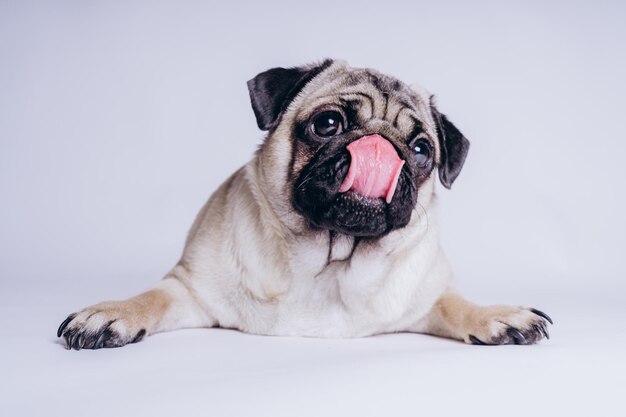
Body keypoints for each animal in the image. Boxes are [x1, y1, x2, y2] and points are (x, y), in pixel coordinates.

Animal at [56, 60, 548, 350]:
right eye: (327, 124)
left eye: (422, 149)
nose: (380, 147)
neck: (328, 264)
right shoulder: (190, 289)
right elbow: (152, 297)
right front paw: (113, 314)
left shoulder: (427, 296)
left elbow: (455, 305)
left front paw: (497, 315)